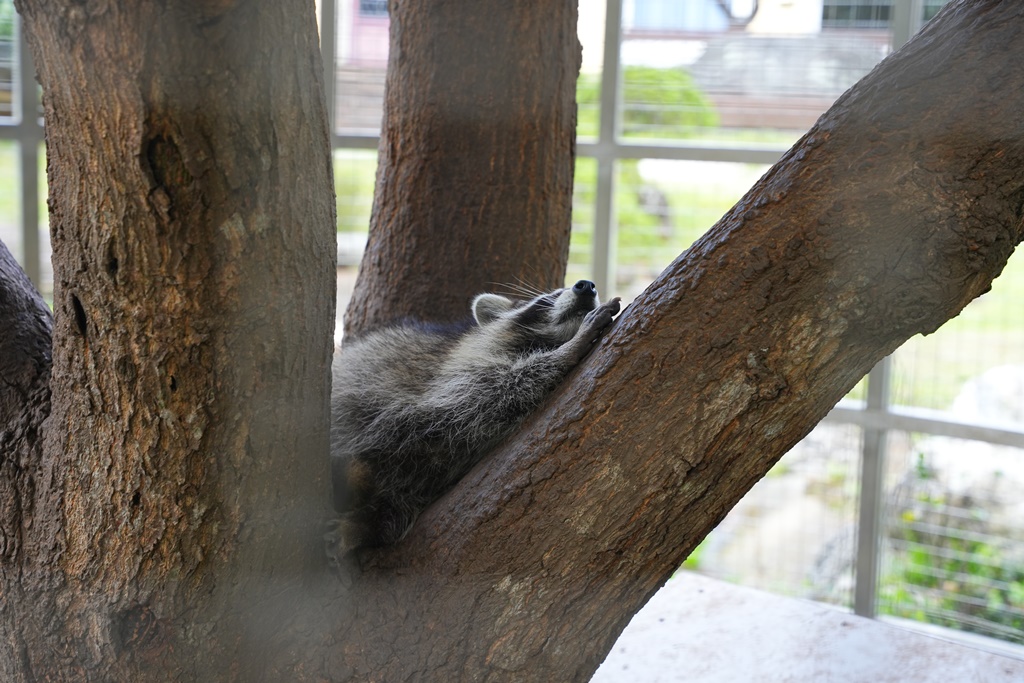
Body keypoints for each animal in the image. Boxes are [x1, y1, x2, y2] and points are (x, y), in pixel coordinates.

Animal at [327, 278, 618, 561]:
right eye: (550, 296)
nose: (586, 285)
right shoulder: (451, 374)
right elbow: (478, 398)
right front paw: (566, 351)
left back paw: (362, 523)